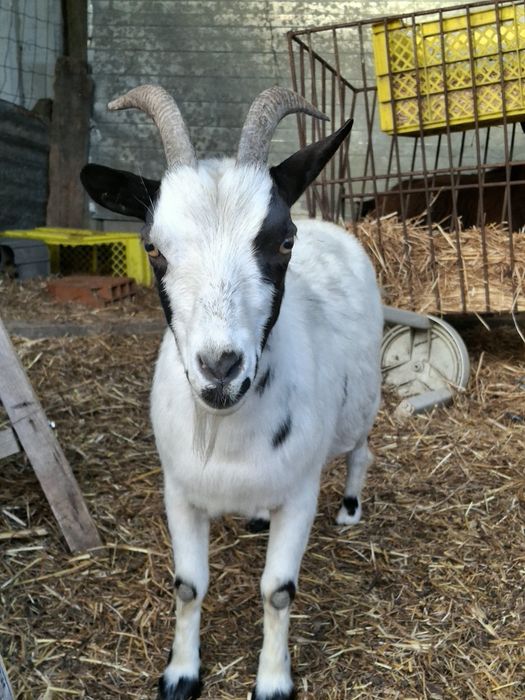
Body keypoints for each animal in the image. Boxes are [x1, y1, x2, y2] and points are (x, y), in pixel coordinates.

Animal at [81, 85, 382, 700]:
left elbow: (278, 591)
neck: (227, 432)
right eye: (152, 247)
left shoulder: (299, 493)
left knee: (361, 451)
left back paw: (350, 508)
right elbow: (188, 586)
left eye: (283, 241)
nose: (220, 365)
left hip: (364, 404)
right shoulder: (179, 492)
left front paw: (272, 681)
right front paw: (180, 673)